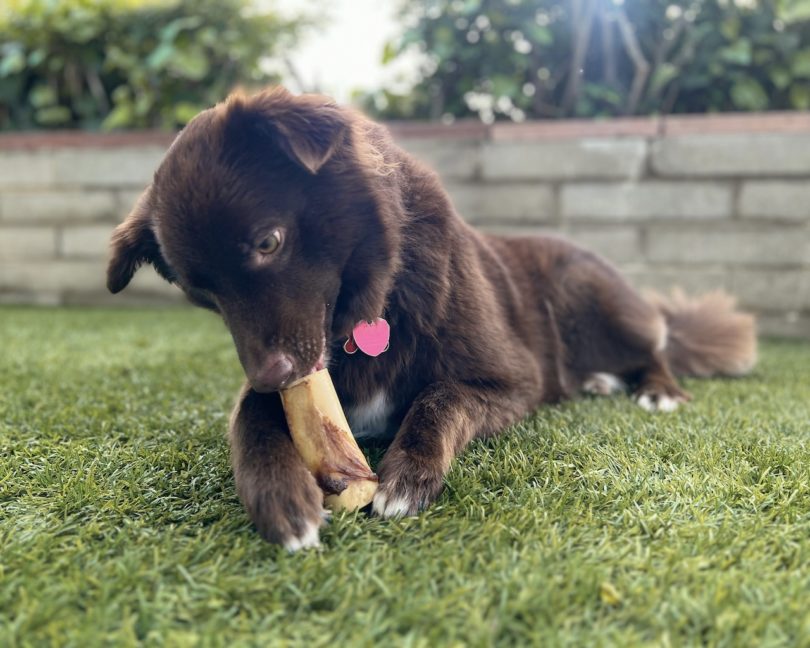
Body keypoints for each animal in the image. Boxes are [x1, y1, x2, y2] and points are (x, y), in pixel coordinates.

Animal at [104, 87, 756, 552]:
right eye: (204, 296)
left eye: (268, 242)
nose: (270, 376)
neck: (373, 307)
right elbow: (250, 421)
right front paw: (278, 496)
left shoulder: (513, 381)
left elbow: (440, 397)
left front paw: (406, 478)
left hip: (591, 297)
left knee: (655, 349)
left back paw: (657, 389)